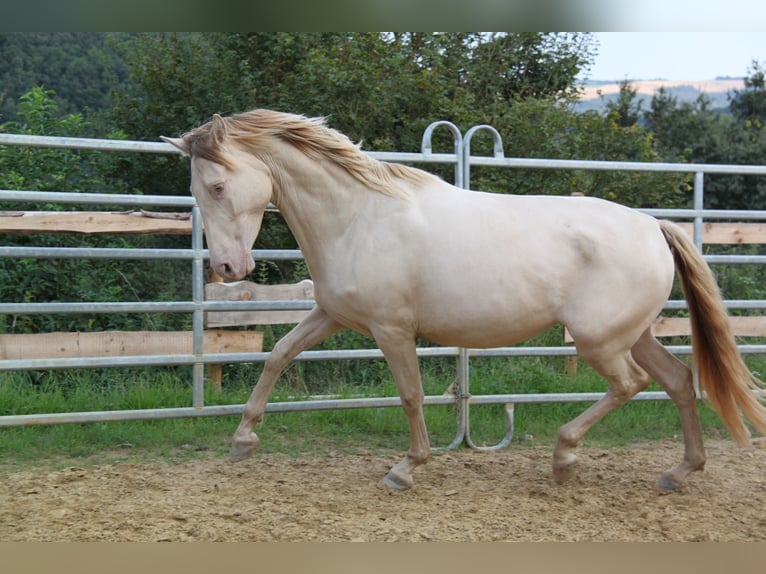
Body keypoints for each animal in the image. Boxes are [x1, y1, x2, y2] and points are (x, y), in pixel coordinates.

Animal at [162, 110, 766, 492]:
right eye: (198, 190)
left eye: (217, 186)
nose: (228, 270)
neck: (357, 217)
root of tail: (652, 226)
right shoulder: (332, 315)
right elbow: (279, 354)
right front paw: (243, 439)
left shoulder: (391, 329)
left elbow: (409, 395)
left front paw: (405, 470)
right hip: (632, 334)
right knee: (678, 381)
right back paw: (680, 472)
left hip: (600, 340)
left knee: (631, 385)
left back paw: (564, 457)